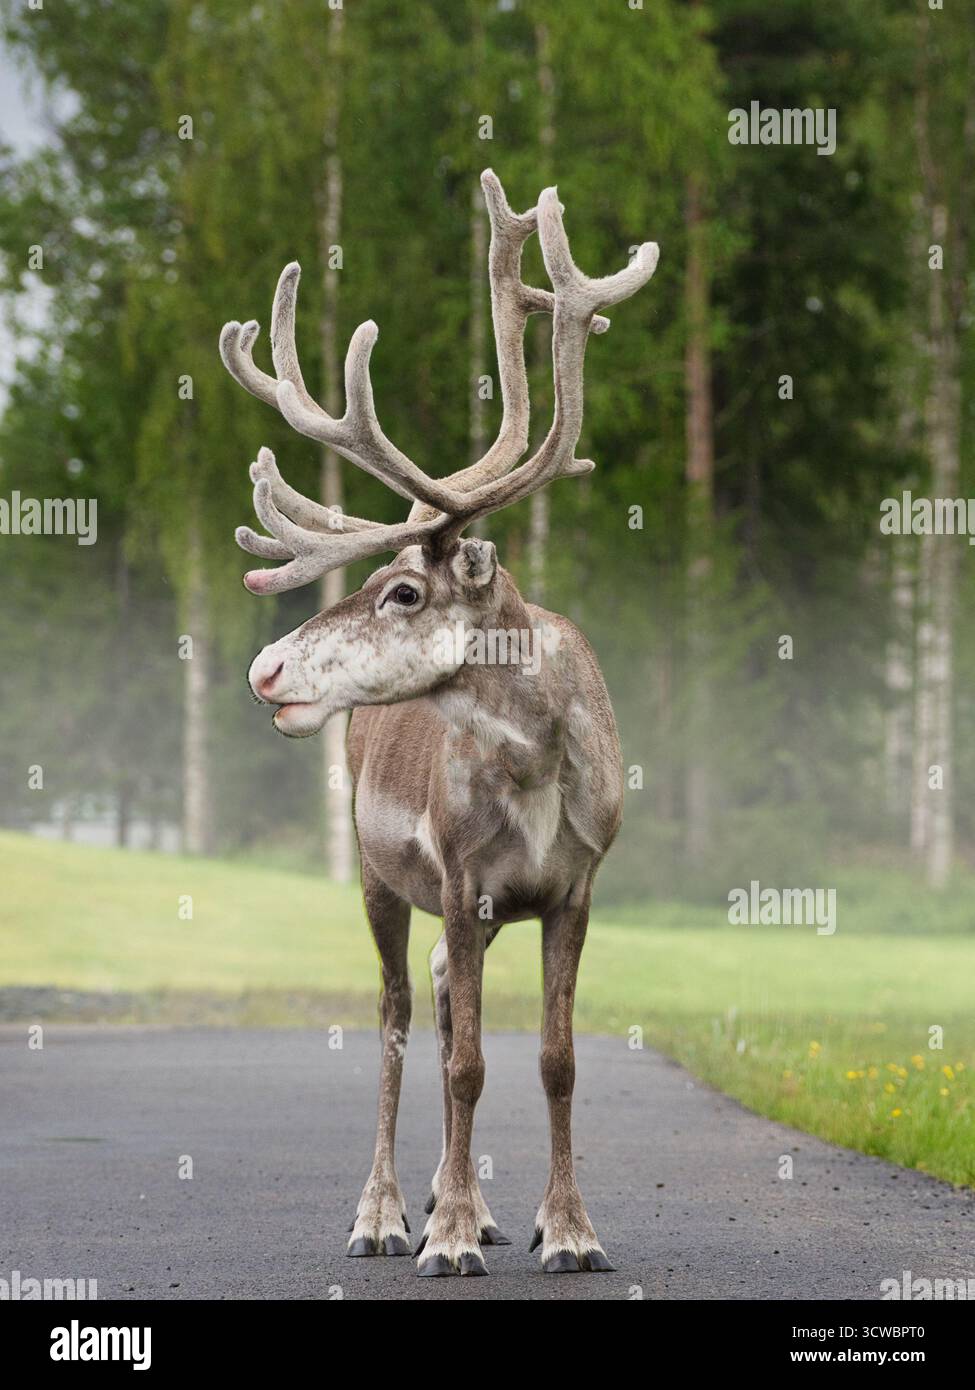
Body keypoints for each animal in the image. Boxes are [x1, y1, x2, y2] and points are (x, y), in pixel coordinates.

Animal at [219, 170, 658, 1277]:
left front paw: (568, 1229)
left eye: (405, 591)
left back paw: (483, 1205)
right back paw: (384, 1212)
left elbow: (555, 1058)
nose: (265, 667)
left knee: (442, 996)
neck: (541, 766)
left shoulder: (575, 885)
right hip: (381, 878)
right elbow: (463, 1064)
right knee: (396, 1016)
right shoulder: (460, 878)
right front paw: (448, 1235)